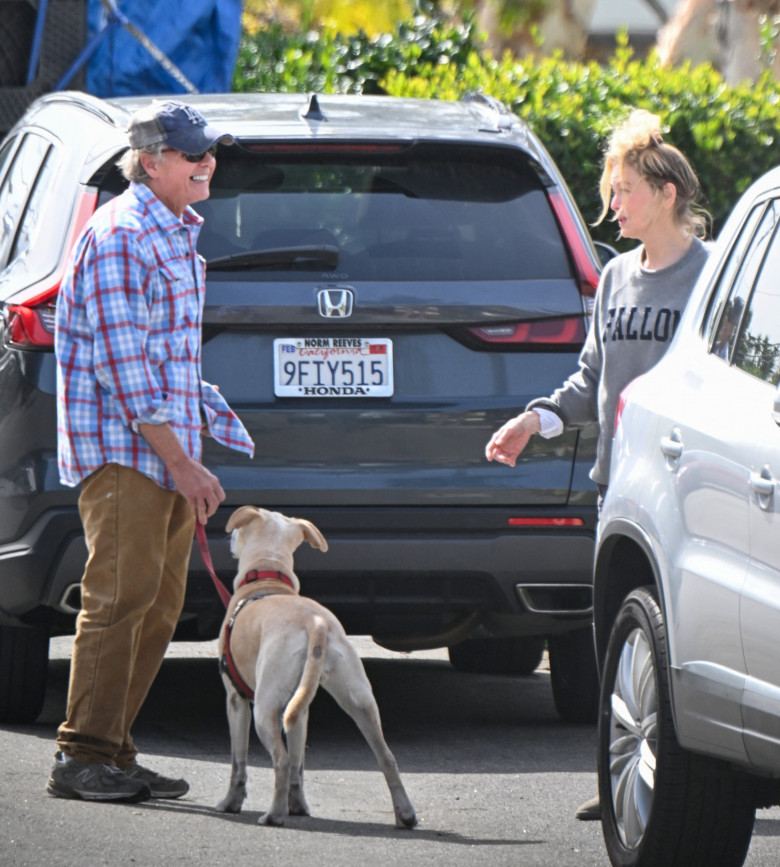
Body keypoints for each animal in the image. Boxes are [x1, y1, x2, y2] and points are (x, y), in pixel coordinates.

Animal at [213, 506, 418, 832]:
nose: (228, 536)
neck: (268, 578)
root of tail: (316, 623)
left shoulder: (236, 700)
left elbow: (239, 762)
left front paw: (230, 803)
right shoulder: (300, 710)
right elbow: (299, 762)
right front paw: (298, 806)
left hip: (265, 709)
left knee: (281, 760)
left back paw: (274, 815)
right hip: (358, 700)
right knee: (386, 757)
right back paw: (406, 814)